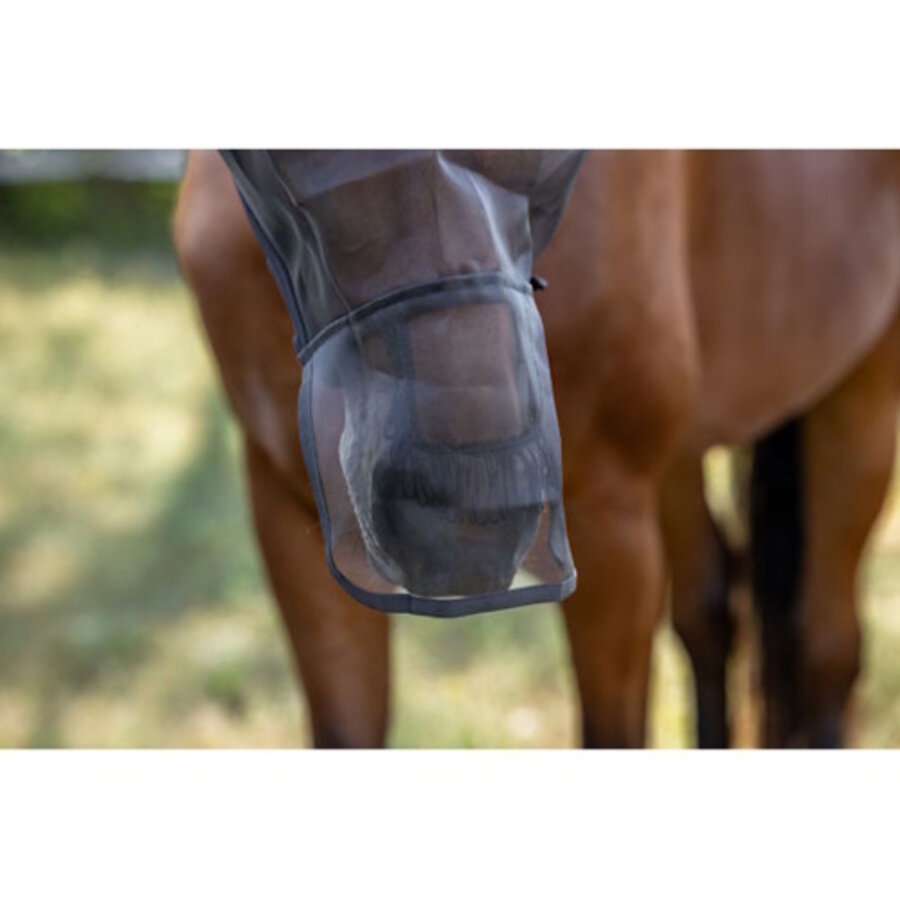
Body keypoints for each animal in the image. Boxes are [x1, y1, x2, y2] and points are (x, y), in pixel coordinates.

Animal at [173, 150, 900, 748]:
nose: (463, 497)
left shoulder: (611, 525)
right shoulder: (290, 513)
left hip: (860, 396)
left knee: (825, 647)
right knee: (713, 612)